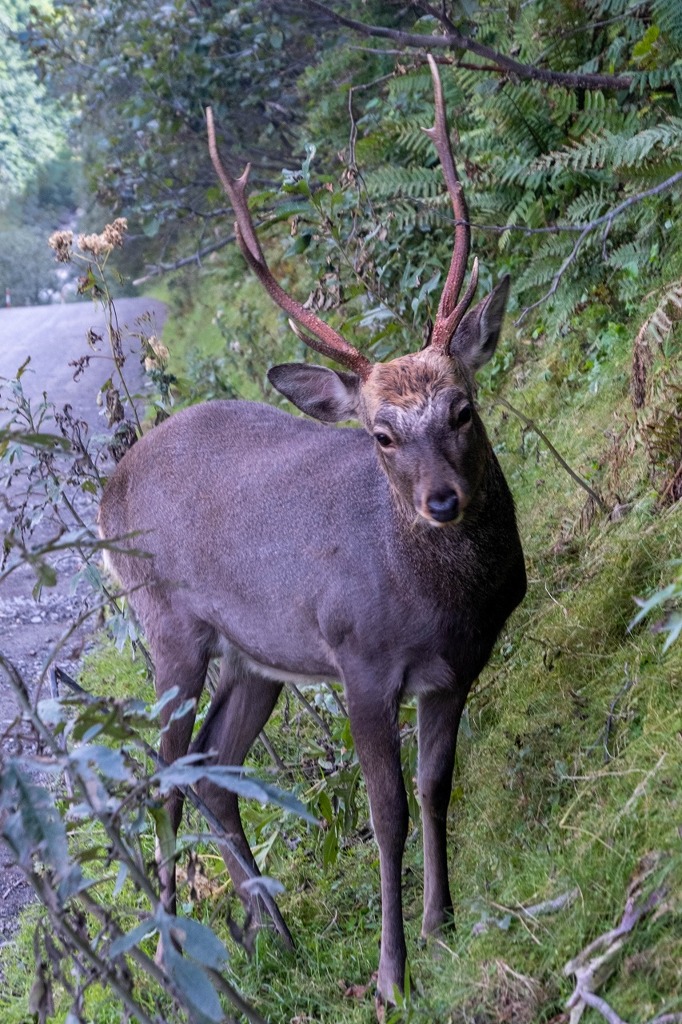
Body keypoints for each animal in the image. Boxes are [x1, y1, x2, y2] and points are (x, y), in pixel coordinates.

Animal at [98, 54, 524, 999]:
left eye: (462, 408)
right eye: (380, 434)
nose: (443, 502)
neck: (436, 600)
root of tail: (110, 487)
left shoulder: (456, 668)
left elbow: (437, 787)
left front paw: (441, 926)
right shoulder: (359, 658)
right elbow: (387, 809)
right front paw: (392, 973)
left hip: (257, 654)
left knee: (216, 765)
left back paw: (277, 935)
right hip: (167, 624)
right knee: (164, 771)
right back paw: (172, 958)